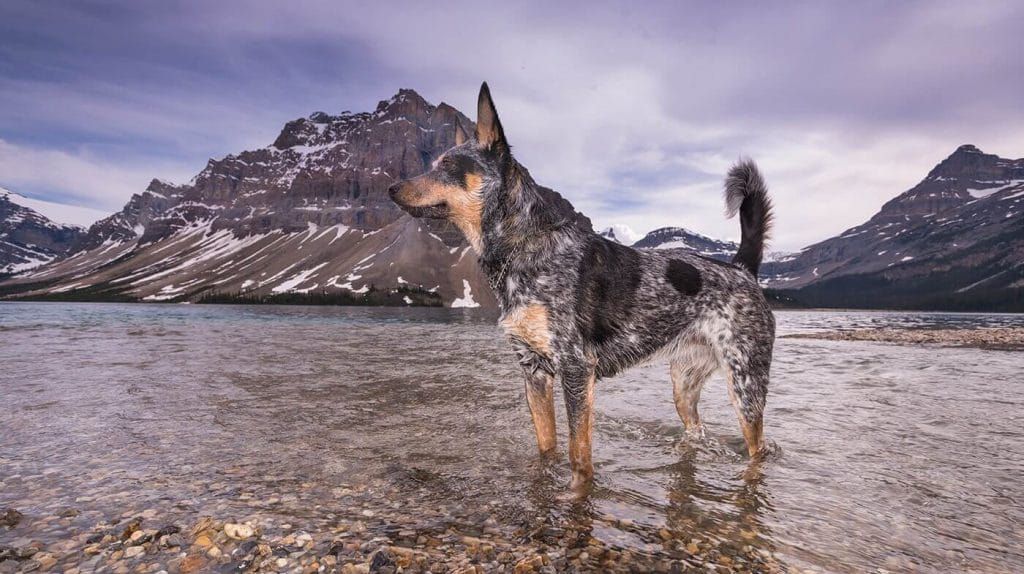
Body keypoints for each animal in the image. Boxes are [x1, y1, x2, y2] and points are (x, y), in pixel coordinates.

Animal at [391, 82, 774, 495]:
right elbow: (547, 446)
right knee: (696, 430)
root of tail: (742, 268)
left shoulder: (576, 369)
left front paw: (576, 493)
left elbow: (578, 455)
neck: (523, 247)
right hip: (684, 386)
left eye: (448, 166)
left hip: (746, 383)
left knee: (759, 448)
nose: (392, 188)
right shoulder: (533, 372)